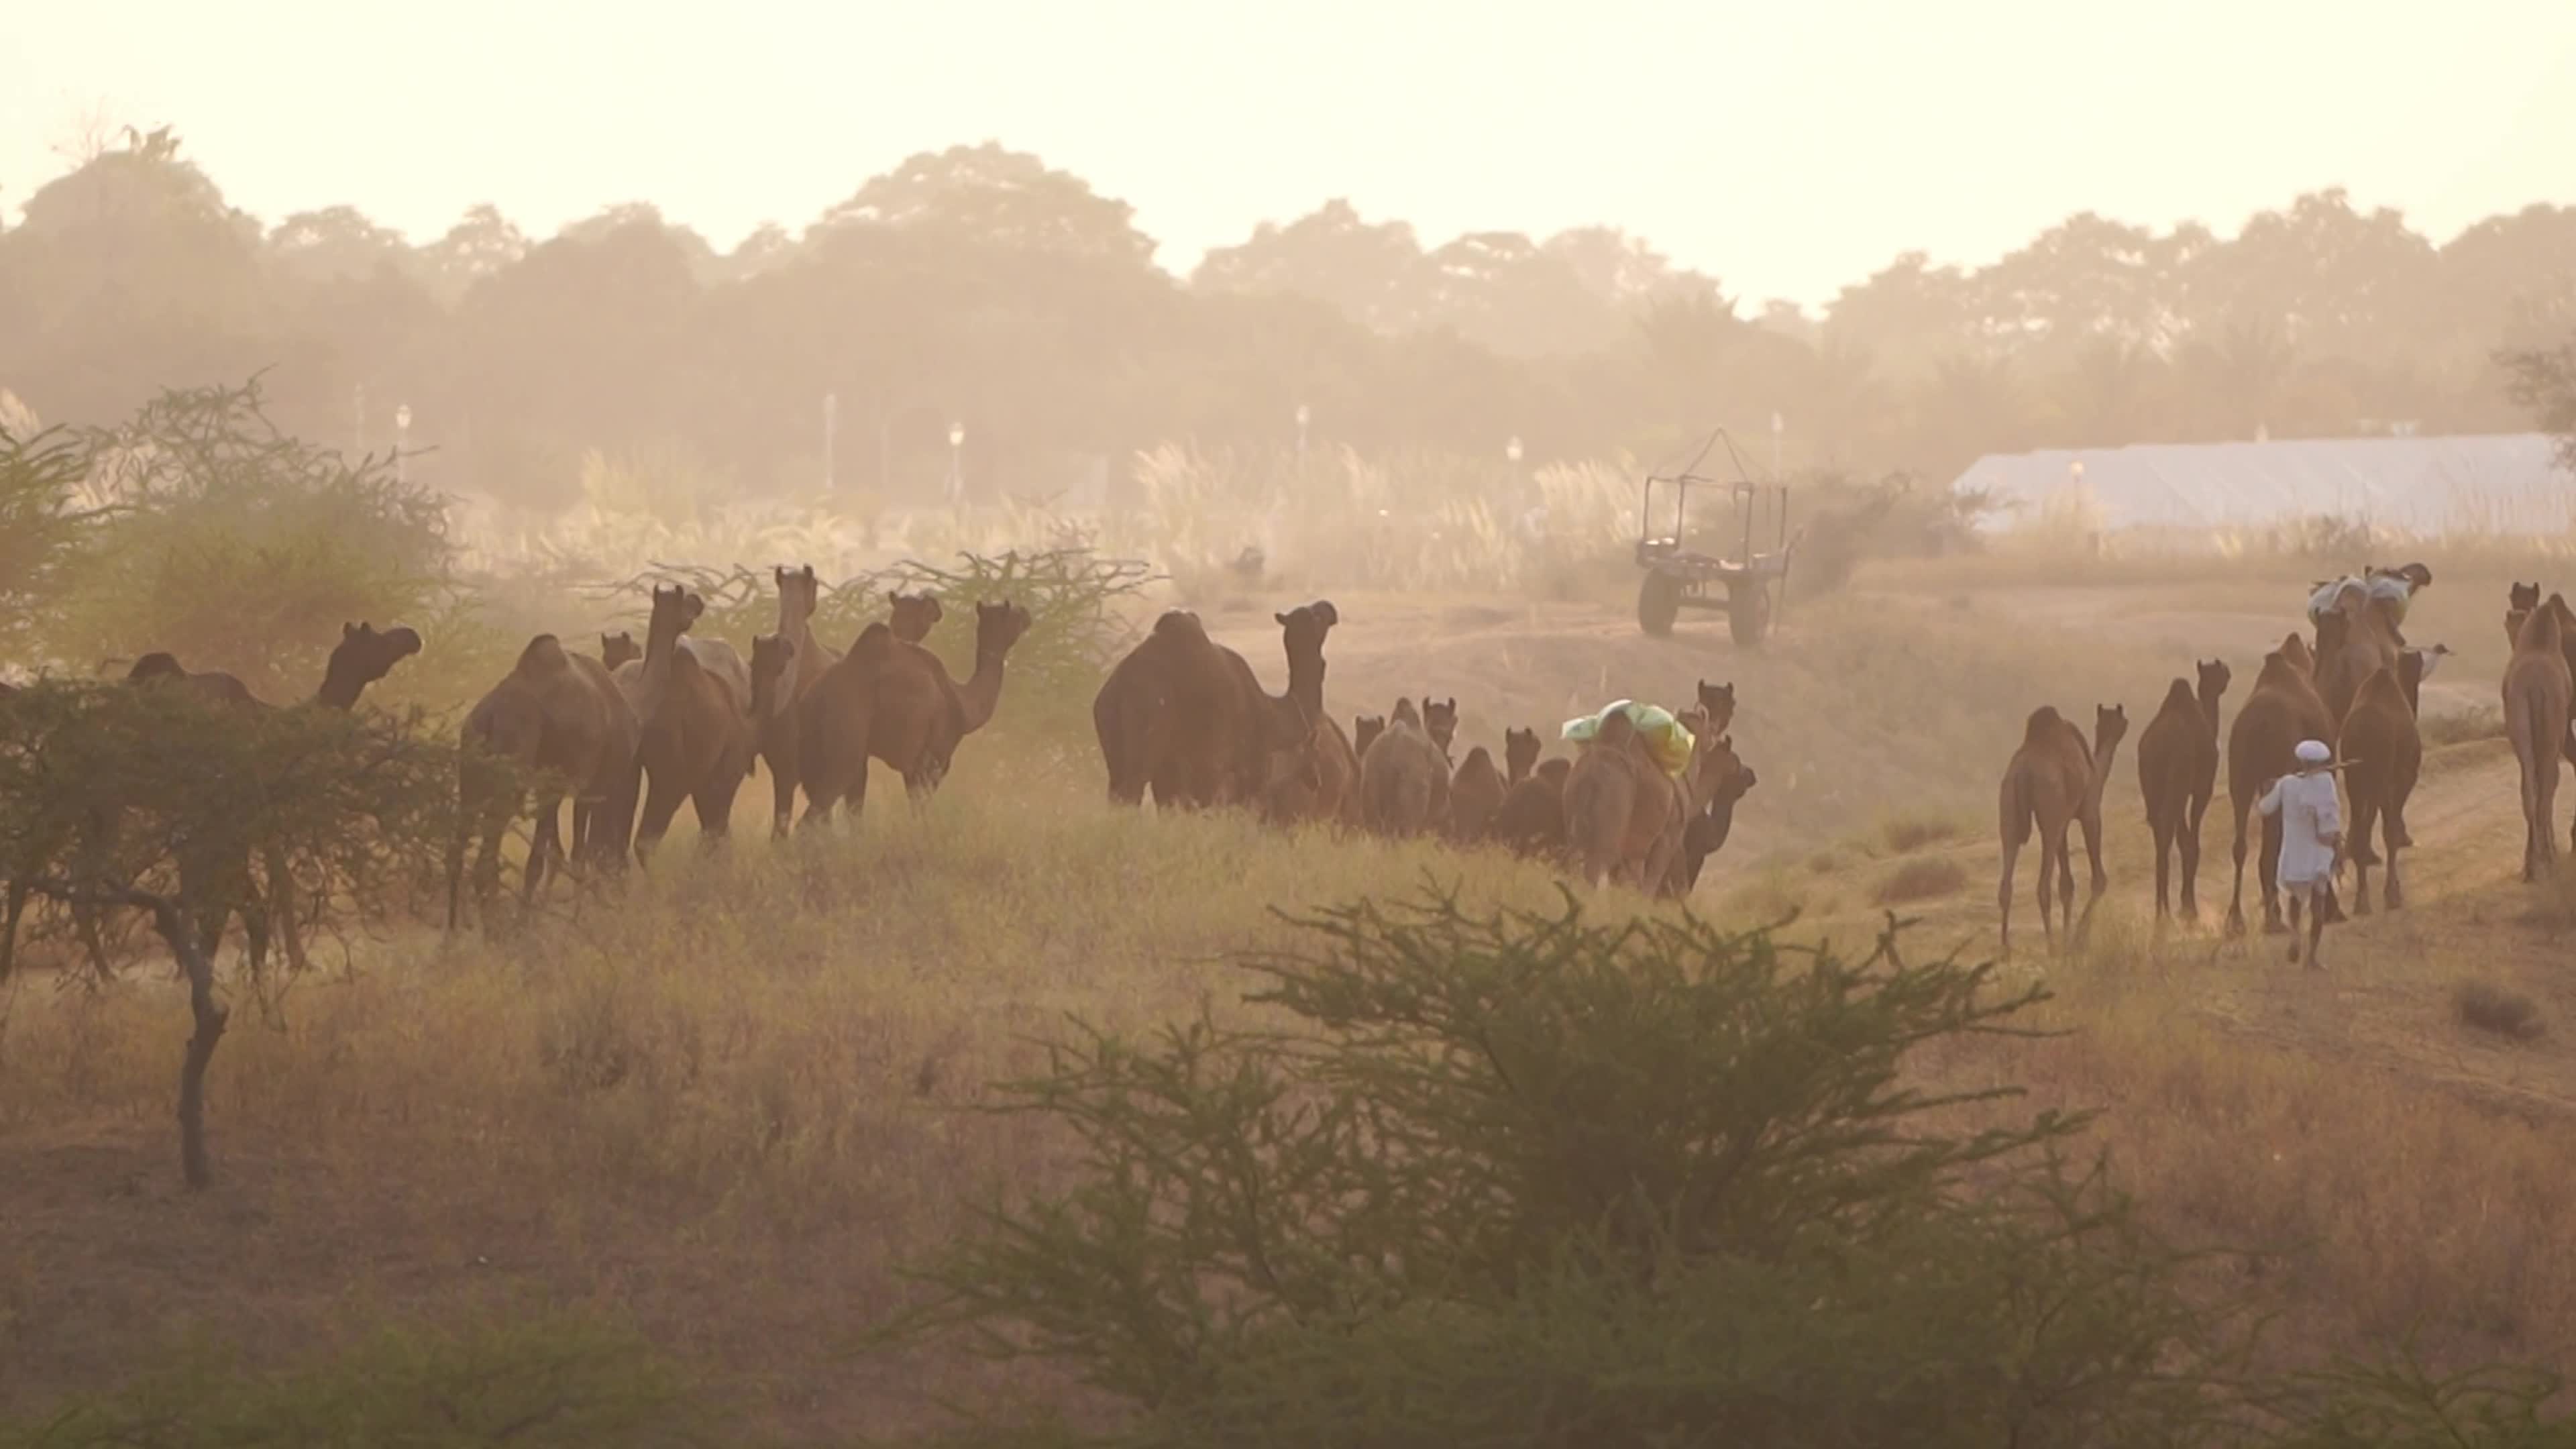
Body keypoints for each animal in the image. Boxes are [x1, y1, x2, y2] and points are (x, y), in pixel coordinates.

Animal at [451, 633, 639, 926]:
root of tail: (491, 716)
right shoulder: (598, 783)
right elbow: (583, 851)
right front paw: (580, 914)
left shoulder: (555, 787)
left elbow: (561, 852)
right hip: (513, 772)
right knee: (488, 863)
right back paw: (497, 928)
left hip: (471, 775)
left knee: (458, 851)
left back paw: (453, 932)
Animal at [1998, 703, 2125, 956]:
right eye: (2121, 719)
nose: (2126, 722)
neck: (2095, 771)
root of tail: (2023, 771)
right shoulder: (2089, 811)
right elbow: (2099, 880)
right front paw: (2077, 941)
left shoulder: (2063, 824)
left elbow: (2067, 885)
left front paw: (2069, 937)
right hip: (2050, 807)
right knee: (2043, 886)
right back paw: (2051, 946)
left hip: (2008, 806)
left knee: (2006, 879)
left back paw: (2006, 947)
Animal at [2135, 658, 2230, 922]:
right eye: (2219, 670)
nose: (2227, 670)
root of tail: (2159, 744)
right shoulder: (2200, 789)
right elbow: (2191, 844)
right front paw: (2189, 907)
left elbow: (2183, 840)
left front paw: (2184, 904)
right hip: (2177, 780)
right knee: (2166, 829)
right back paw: (2165, 913)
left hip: (2152, 784)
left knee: (2159, 831)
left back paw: (2161, 910)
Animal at [2225, 646, 2339, 936]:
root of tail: (2258, 725)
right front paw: (2332, 910)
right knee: (2273, 843)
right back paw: (2274, 918)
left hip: (2240, 775)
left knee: (2242, 843)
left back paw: (2238, 920)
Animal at [2340, 657, 2422, 914]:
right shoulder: (2401, 778)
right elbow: (2391, 831)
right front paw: (2393, 892)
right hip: (2377, 779)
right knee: (2368, 830)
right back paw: (2367, 900)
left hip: (2354, 781)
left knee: (2360, 829)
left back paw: (2360, 899)